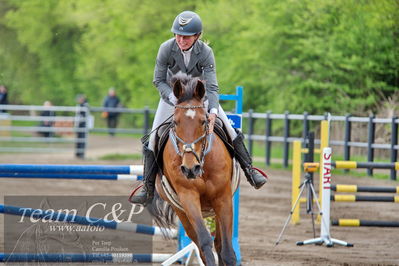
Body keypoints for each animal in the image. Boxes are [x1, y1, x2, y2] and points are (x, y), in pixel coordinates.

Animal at [149, 73, 238, 266]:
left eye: (203, 121)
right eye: (175, 123)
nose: (190, 169)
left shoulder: (223, 197)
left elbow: (227, 249)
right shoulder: (188, 197)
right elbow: (204, 241)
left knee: (219, 243)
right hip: (181, 211)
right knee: (200, 242)